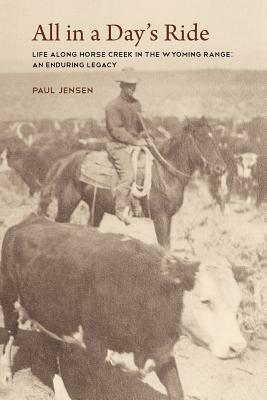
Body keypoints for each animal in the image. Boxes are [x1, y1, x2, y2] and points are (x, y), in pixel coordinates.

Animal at [0, 216, 247, 400]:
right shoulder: (96, 352)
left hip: (52, 315)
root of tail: (28, 221)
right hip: (9, 299)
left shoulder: (161, 354)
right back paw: (6, 376)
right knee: (10, 337)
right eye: (206, 301)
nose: (238, 347)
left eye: (237, 303)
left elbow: (177, 390)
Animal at [38, 117, 225, 248]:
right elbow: (163, 247)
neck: (165, 173)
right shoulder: (160, 218)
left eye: (214, 139)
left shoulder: (169, 218)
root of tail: (64, 161)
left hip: (96, 208)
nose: (221, 168)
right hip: (67, 204)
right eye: (201, 139)